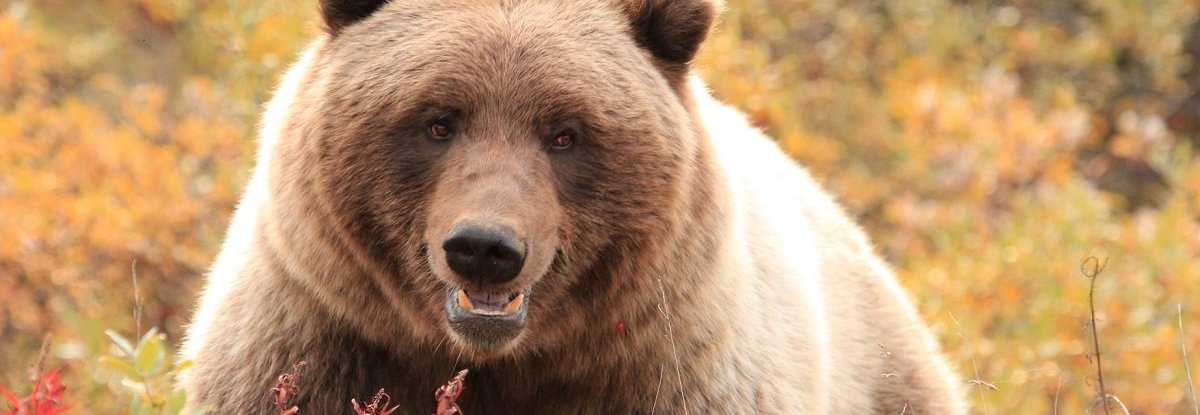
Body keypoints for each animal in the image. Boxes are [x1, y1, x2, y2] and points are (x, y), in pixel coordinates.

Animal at [180, 0, 964, 410]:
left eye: (566, 132)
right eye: (438, 119)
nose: (486, 248)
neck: (500, 362)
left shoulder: (670, 374)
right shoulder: (316, 344)